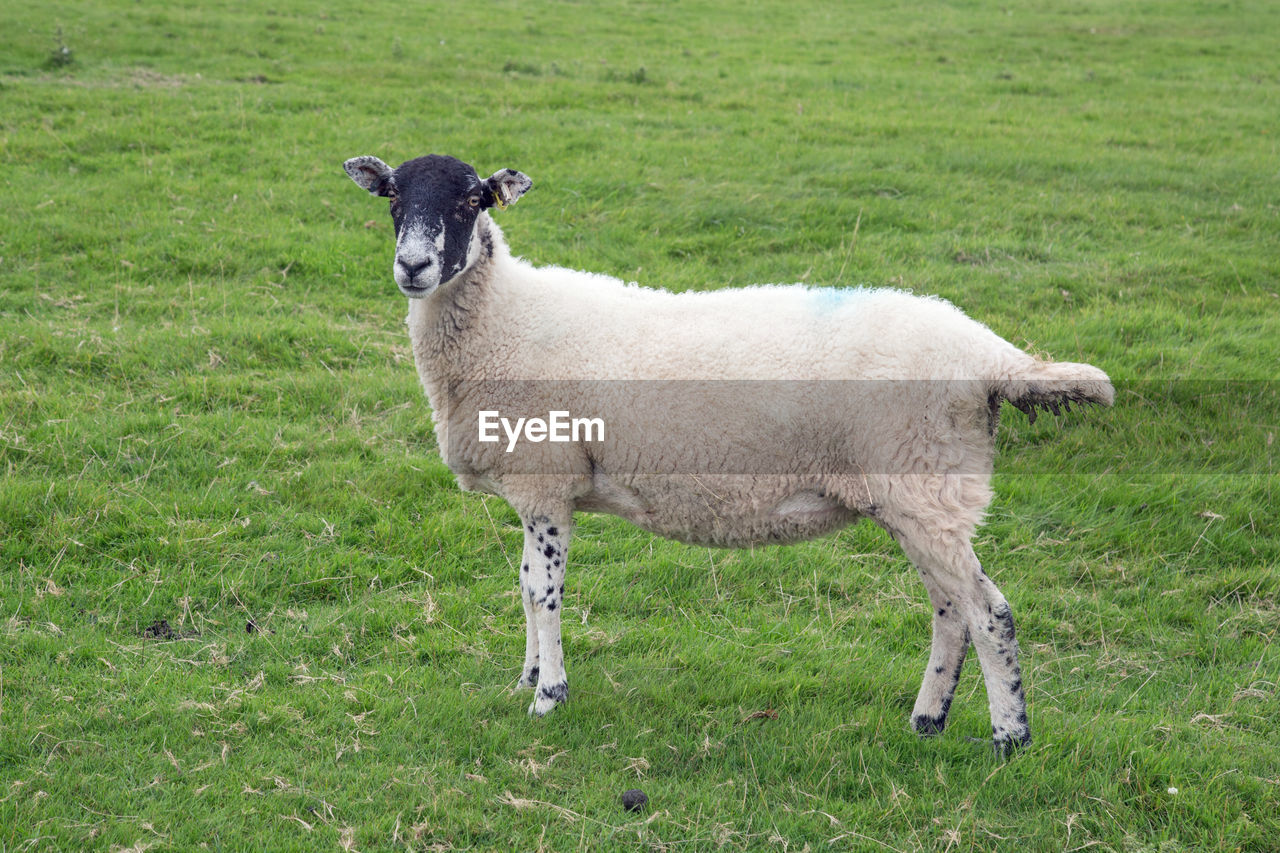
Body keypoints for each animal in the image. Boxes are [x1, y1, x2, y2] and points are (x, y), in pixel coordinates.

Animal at [340, 153, 1111, 753]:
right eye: (393, 198)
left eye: (472, 200)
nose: (413, 266)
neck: (502, 318)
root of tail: (989, 355)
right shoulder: (538, 492)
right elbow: (526, 585)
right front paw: (528, 677)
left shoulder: (545, 482)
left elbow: (542, 589)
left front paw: (548, 694)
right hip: (918, 495)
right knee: (950, 609)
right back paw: (927, 721)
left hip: (926, 483)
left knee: (989, 611)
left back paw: (1010, 737)